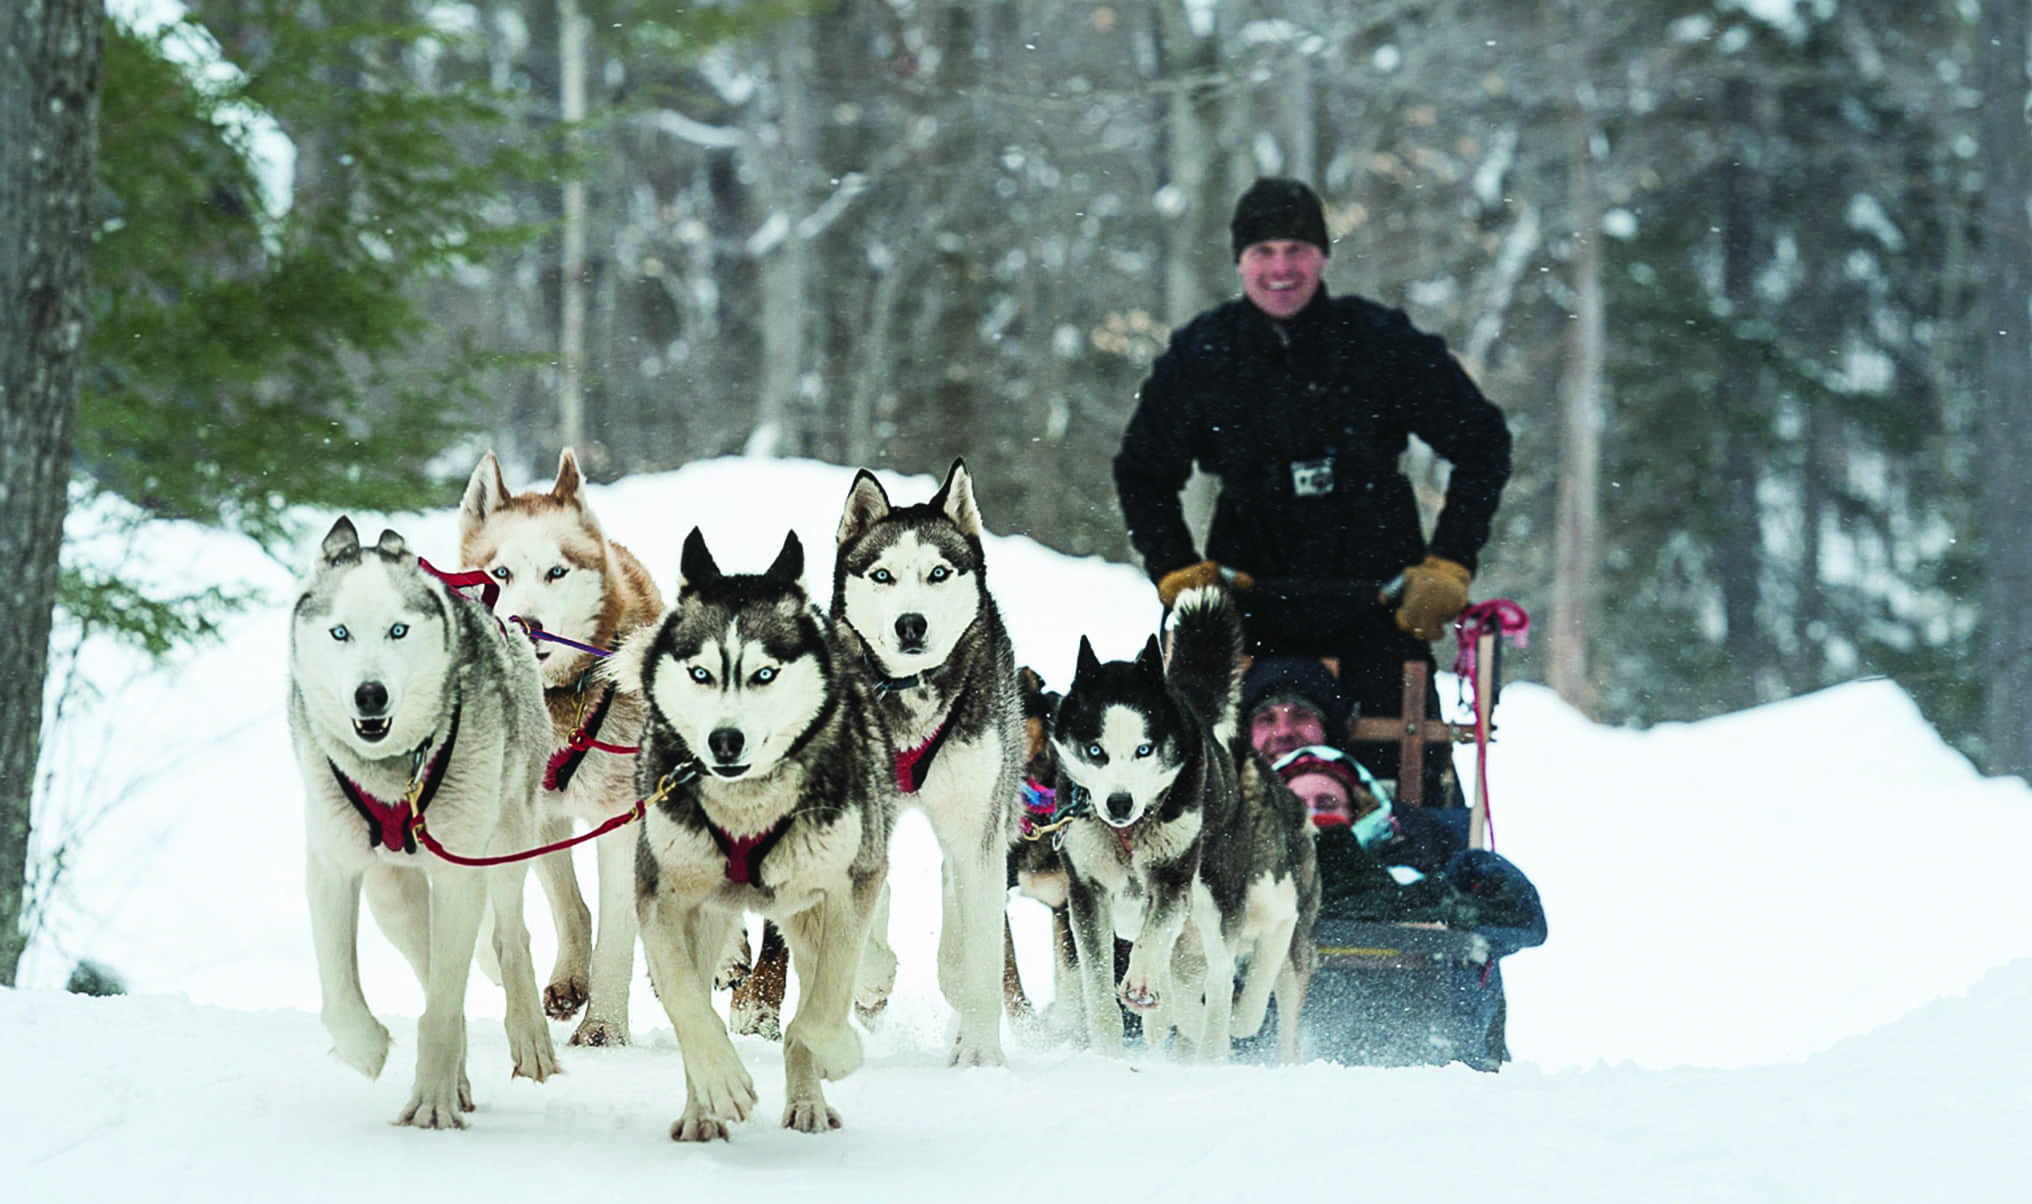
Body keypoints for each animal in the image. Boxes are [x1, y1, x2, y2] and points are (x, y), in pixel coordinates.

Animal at [286, 515, 556, 1128]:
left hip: (507, 838)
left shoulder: (460, 875)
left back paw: (528, 1037)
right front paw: (367, 1048)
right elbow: (341, 994)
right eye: (340, 633)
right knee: (428, 959)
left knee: (510, 938)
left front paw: (432, 1102)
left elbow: (443, 1008)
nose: (370, 694)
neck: (396, 775)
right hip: (394, 896)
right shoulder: (333, 868)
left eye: (398, 631)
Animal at [457, 448, 662, 1039]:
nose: (528, 623)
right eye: (500, 572)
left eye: (557, 571)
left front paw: (604, 1030)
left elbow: (618, 932)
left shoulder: (621, 818)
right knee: (573, 906)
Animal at [601, 527, 890, 1136]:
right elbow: (684, 998)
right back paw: (700, 1112)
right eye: (700, 673)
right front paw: (721, 1080)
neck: (748, 807)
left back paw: (807, 1100)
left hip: (806, 913)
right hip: (709, 915)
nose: (724, 741)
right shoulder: (661, 894)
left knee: (813, 995)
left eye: (764, 673)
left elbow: (823, 1006)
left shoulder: (851, 885)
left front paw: (837, 1054)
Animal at [829, 456, 1024, 1063]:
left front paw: (982, 1054)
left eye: (939, 573)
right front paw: (871, 979)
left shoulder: (977, 828)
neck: (909, 692)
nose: (910, 623)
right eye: (882, 575)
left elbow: (980, 959)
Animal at [1048, 588, 1316, 1055]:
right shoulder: (1087, 892)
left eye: (1144, 749)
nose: (1119, 803)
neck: (1128, 835)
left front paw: (1140, 984)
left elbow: (1155, 937)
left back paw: (1208, 1045)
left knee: (1221, 979)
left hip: (1215, 897)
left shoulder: (1173, 880)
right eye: (1096, 750)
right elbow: (1097, 980)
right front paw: (1108, 1042)